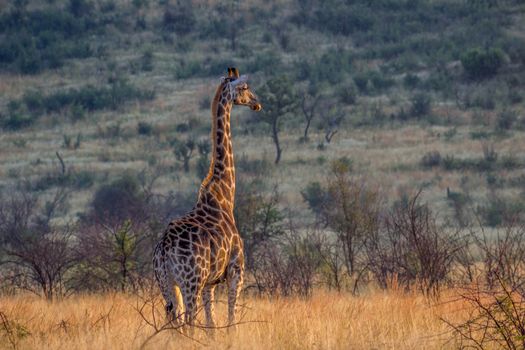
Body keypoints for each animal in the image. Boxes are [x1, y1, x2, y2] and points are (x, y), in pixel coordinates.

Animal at [152, 67, 260, 328]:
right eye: (245, 87)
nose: (257, 103)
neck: (224, 196)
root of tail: (164, 249)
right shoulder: (236, 270)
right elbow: (231, 319)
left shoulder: (210, 282)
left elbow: (212, 325)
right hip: (190, 282)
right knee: (189, 321)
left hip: (166, 283)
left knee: (174, 322)